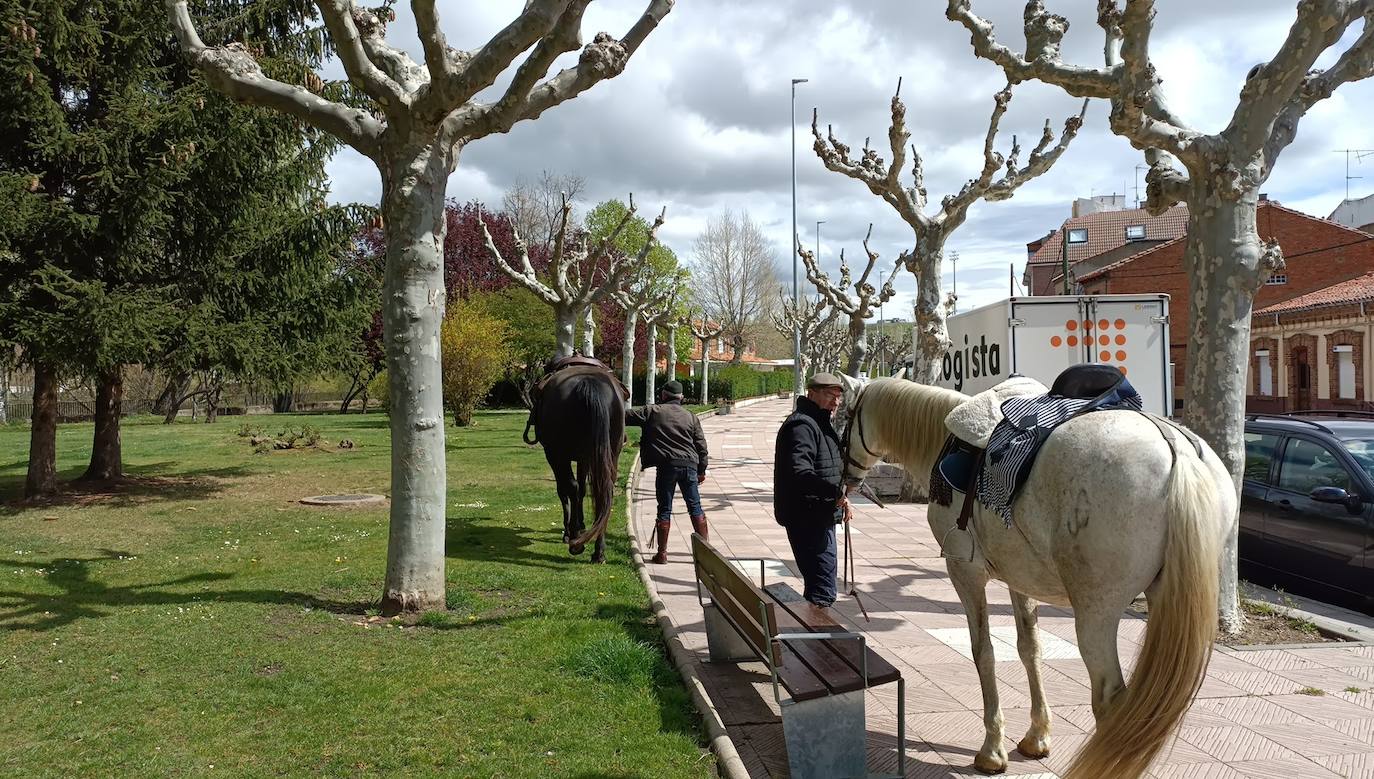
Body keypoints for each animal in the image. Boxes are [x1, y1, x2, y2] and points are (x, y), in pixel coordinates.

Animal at [527, 365, 626, 560]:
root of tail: (589, 382)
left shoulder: (554, 456)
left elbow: (565, 490)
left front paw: (569, 531)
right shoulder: (585, 458)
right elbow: (583, 489)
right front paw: (582, 525)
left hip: (558, 454)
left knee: (571, 487)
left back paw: (574, 541)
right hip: (611, 453)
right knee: (604, 490)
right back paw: (598, 551)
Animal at [840, 379, 1231, 779]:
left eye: (844, 416)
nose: (845, 478)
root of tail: (1177, 448)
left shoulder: (964, 571)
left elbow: (984, 652)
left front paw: (992, 750)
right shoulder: (1020, 578)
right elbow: (1030, 649)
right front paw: (1037, 736)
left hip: (1096, 614)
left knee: (1111, 702)